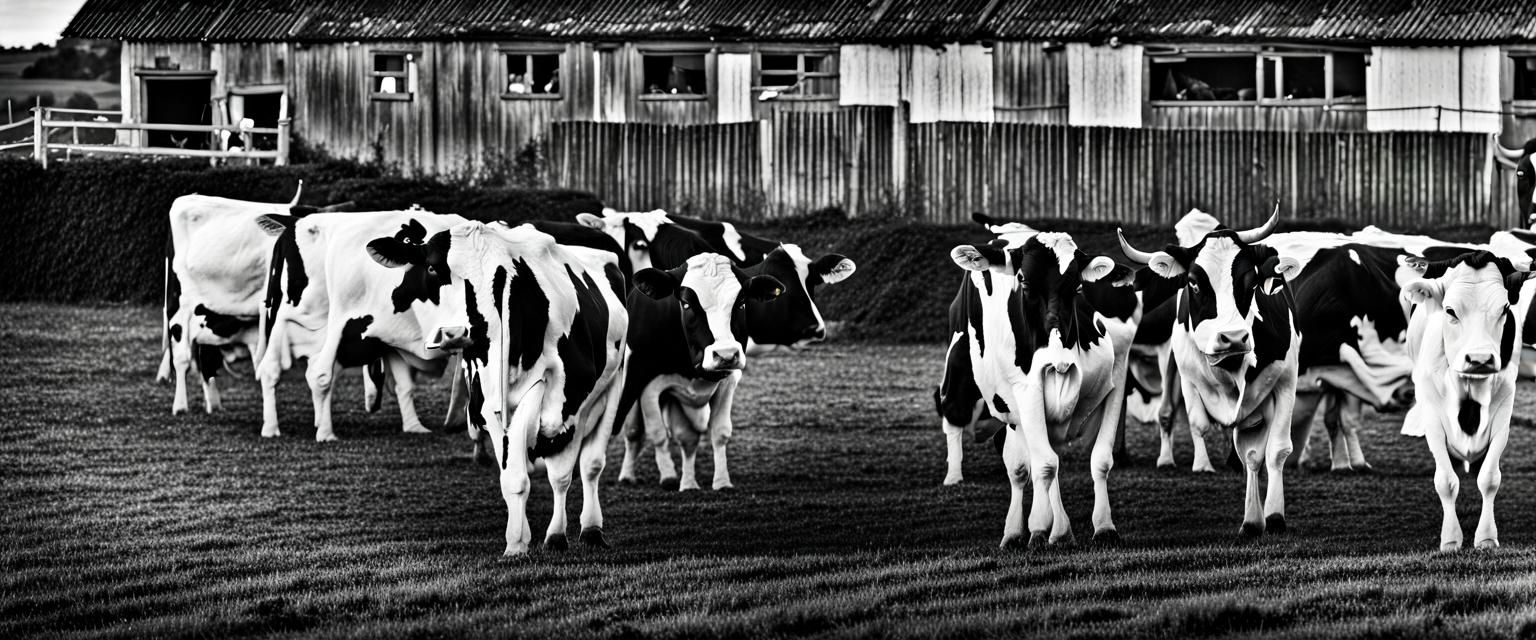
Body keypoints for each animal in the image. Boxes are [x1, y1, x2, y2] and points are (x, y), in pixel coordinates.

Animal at [389, 220, 628, 556]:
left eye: (499, 280)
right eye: (433, 268)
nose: (455, 332)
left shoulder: (563, 401)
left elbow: (558, 473)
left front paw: (543, 537)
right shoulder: (490, 403)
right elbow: (513, 476)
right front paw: (518, 540)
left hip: (614, 385)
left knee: (589, 466)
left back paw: (589, 529)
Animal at [614, 253, 785, 491]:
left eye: (741, 303)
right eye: (686, 304)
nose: (725, 354)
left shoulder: (728, 381)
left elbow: (718, 432)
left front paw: (718, 482)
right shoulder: (649, 385)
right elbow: (658, 433)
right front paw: (668, 475)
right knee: (633, 430)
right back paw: (628, 475)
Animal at [946, 232, 1123, 547]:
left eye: (1078, 286)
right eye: (1024, 281)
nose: (1060, 362)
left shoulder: (1117, 374)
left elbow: (1100, 460)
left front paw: (1104, 527)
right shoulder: (1026, 391)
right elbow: (1044, 465)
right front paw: (1039, 527)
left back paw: (1058, 528)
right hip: (979, 390)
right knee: (1018, 465)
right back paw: (1017, 530)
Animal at [1119, 209, 1302, 536]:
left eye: (1250, 282)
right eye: (1193, 284)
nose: (1233, 337)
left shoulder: (1285, 382)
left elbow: (1275, 451)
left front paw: (1273, 515)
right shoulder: (1188, 376)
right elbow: (1199, 424)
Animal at [1399, 251, 1531, 551]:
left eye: (1504, 309)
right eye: (1450, 311)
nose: (1480, 359)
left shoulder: (1503, 415)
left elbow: (1490, 479)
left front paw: (1486, 537)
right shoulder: (1434, 419)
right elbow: (1446, 481)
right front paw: (1450, 540)